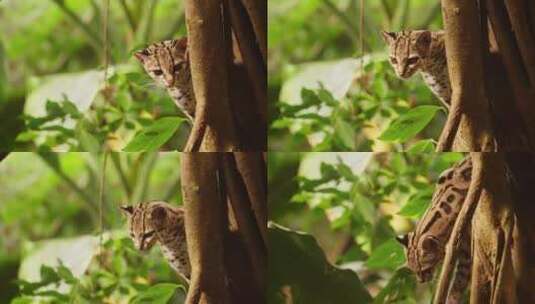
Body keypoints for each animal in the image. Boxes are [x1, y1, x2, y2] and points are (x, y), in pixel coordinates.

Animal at [398, 158, 474, 302]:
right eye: (414, 271)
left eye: (424, 270)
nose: (421, 281)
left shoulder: (465, 243)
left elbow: (460, 279)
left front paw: (452, 298)